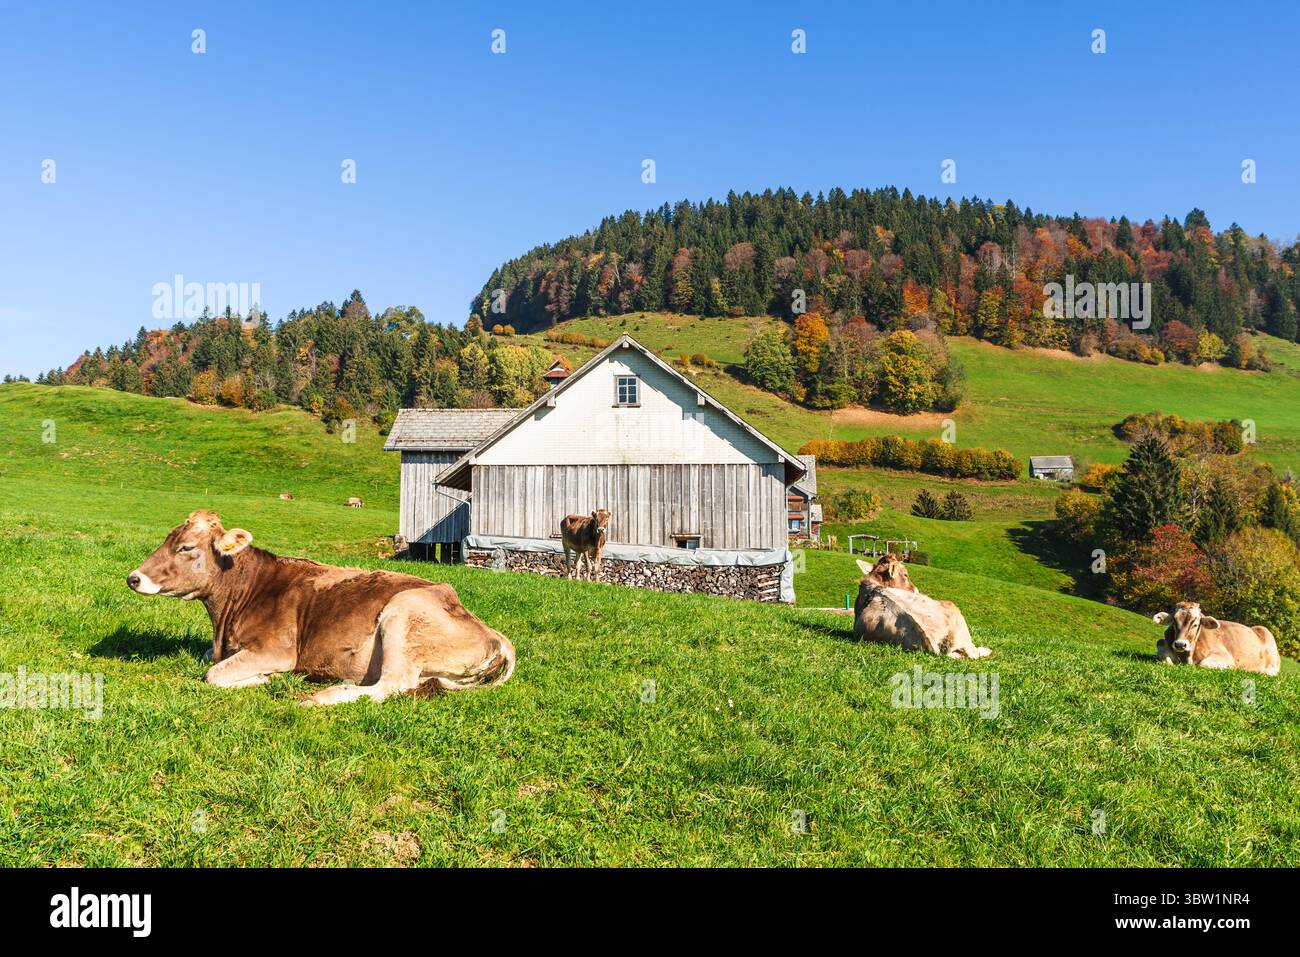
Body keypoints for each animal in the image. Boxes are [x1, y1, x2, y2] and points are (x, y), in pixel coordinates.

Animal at [126, 510, 515, 705]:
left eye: (186, 547)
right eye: (168, 539)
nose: (133, 578)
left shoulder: (276, 650)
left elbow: (213, 674)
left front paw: (266, 678)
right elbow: (209, 658)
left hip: (402, 613)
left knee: (391, 685)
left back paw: (321, 696)